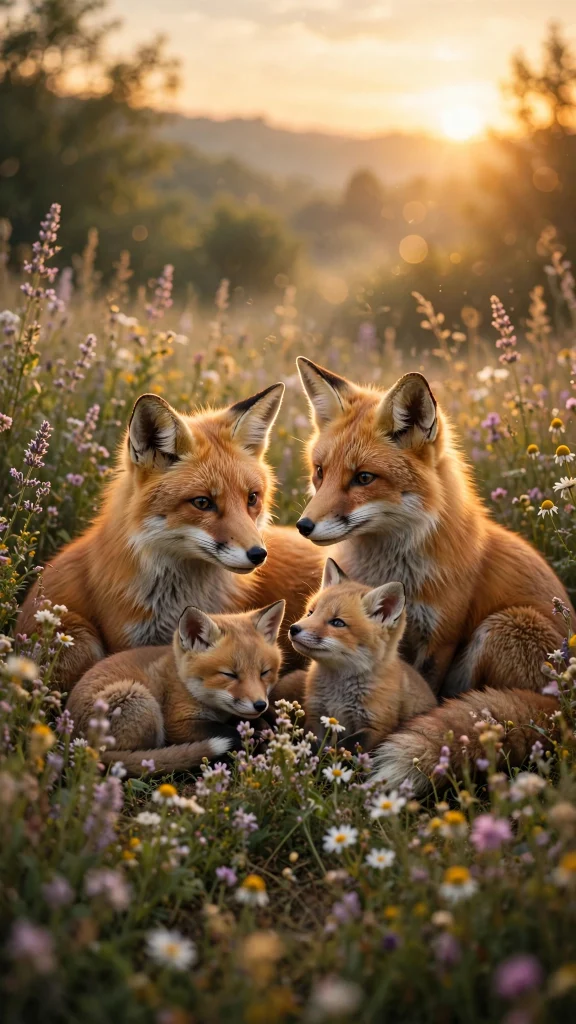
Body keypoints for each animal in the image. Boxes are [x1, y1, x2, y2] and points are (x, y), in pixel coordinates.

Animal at [66, 600, 286, 774]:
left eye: (264, 672)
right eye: (230, 674)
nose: (260, 705)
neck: (185, 683)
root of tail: (77, 743)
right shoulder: (176, 724)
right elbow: (225, 730)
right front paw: (252, 737)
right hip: (141, 700)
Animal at [289, 557, 436, 746]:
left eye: (337, 623)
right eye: (310, 613)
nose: (293, 629)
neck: (338, 693)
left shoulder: (376, 727)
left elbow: (346, 746)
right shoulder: (316, 715)